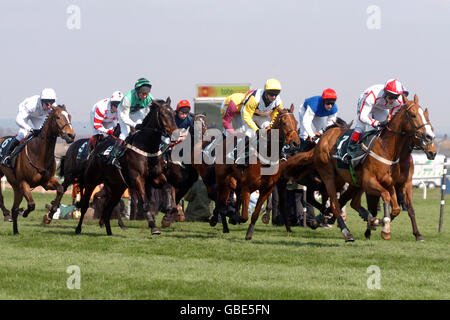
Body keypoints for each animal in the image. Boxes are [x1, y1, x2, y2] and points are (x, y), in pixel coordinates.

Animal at [0, 106, 74, 234]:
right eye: (58, 117)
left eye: (69, 116)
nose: (71, 135)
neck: (39, 153)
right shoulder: (24, 182)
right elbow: (31, 204)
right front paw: (24, 212)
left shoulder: (46, 182)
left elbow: (60, 189)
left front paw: (51, 213)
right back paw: (7, 214)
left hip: (16, 186)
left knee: (14, 208)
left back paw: (15, 230)